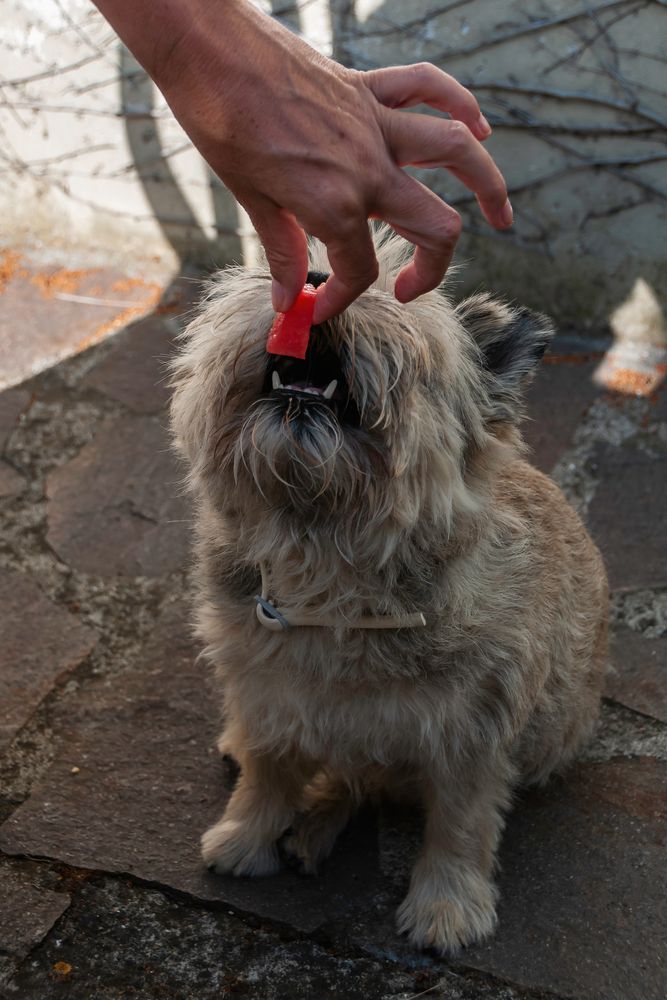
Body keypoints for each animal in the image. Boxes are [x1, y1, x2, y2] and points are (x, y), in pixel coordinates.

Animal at [170, 232, 608, 952]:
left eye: (395, 298)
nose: (315, 279)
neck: (330, 566)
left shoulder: (470, 737)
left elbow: (459, 826)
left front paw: (446, 906)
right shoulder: (266, 692)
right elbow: (267, 770)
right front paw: (246, 837)